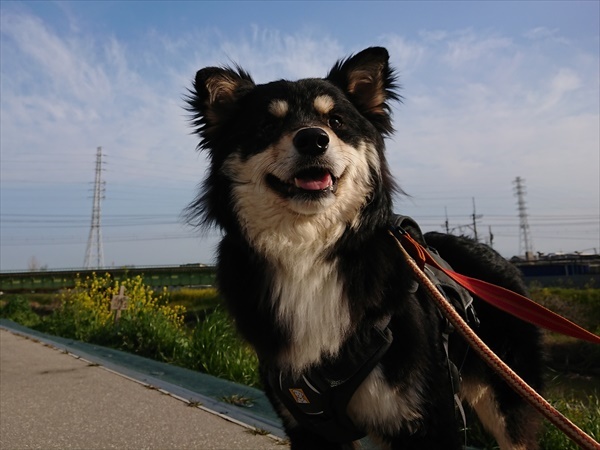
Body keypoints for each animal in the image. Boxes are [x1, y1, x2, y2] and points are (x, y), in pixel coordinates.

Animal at [186, 47, 544, 449]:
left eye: (336, 121)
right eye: (267, 125)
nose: (313, 139)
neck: (308, 252)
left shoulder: (426, 417)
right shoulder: (308, 422)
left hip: (507, 397)